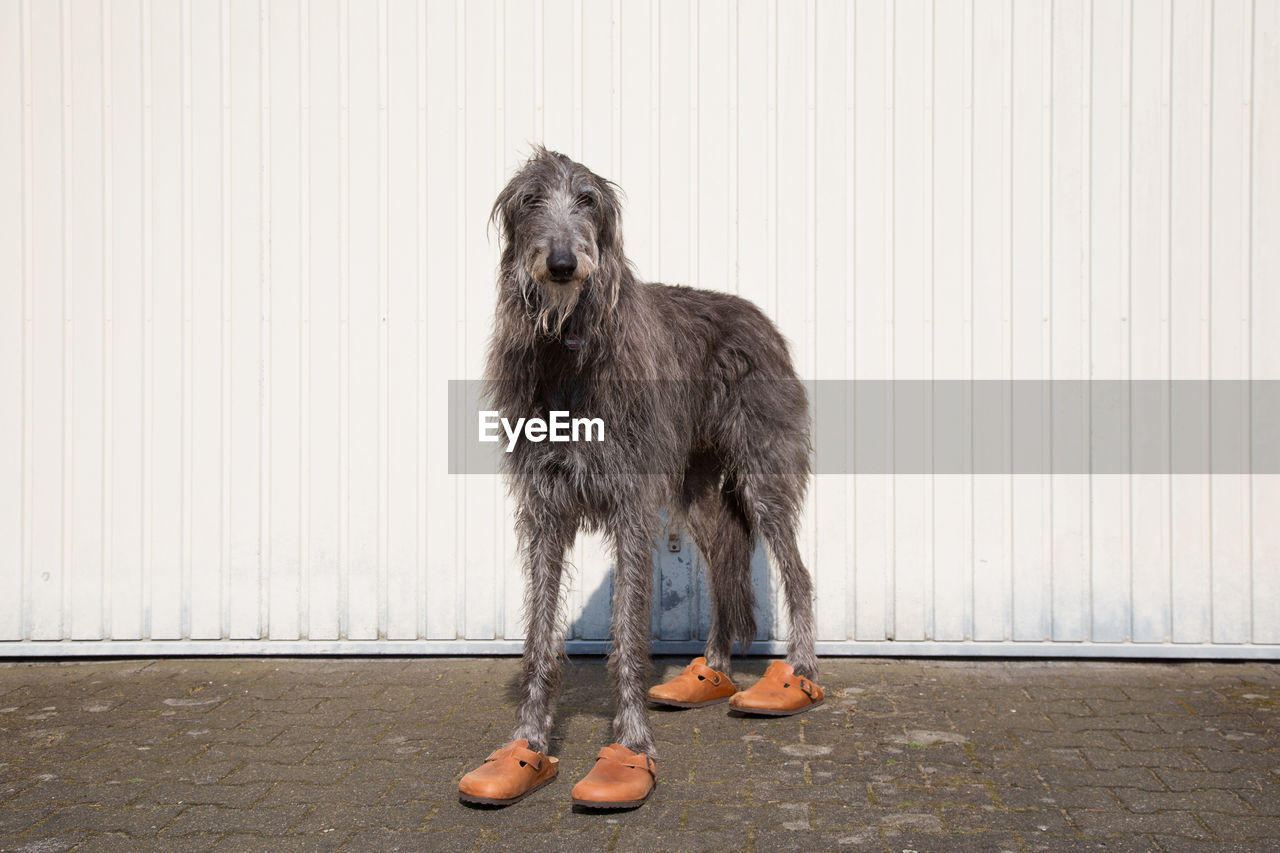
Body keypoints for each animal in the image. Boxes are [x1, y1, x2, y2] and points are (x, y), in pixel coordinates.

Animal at [483, 147, 814, 758]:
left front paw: (632, 738)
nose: (562, 264)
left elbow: (629, 634)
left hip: (764, 473)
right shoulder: (545, 508)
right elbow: (539, 636)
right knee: (726, 561)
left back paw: (800, 673)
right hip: (698, 491)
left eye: (587, 199)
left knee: (796, 573)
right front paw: (529, 739)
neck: (572, 353)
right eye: (531, 200)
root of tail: (760, 318)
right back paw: (710, 670)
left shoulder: (630, 506)